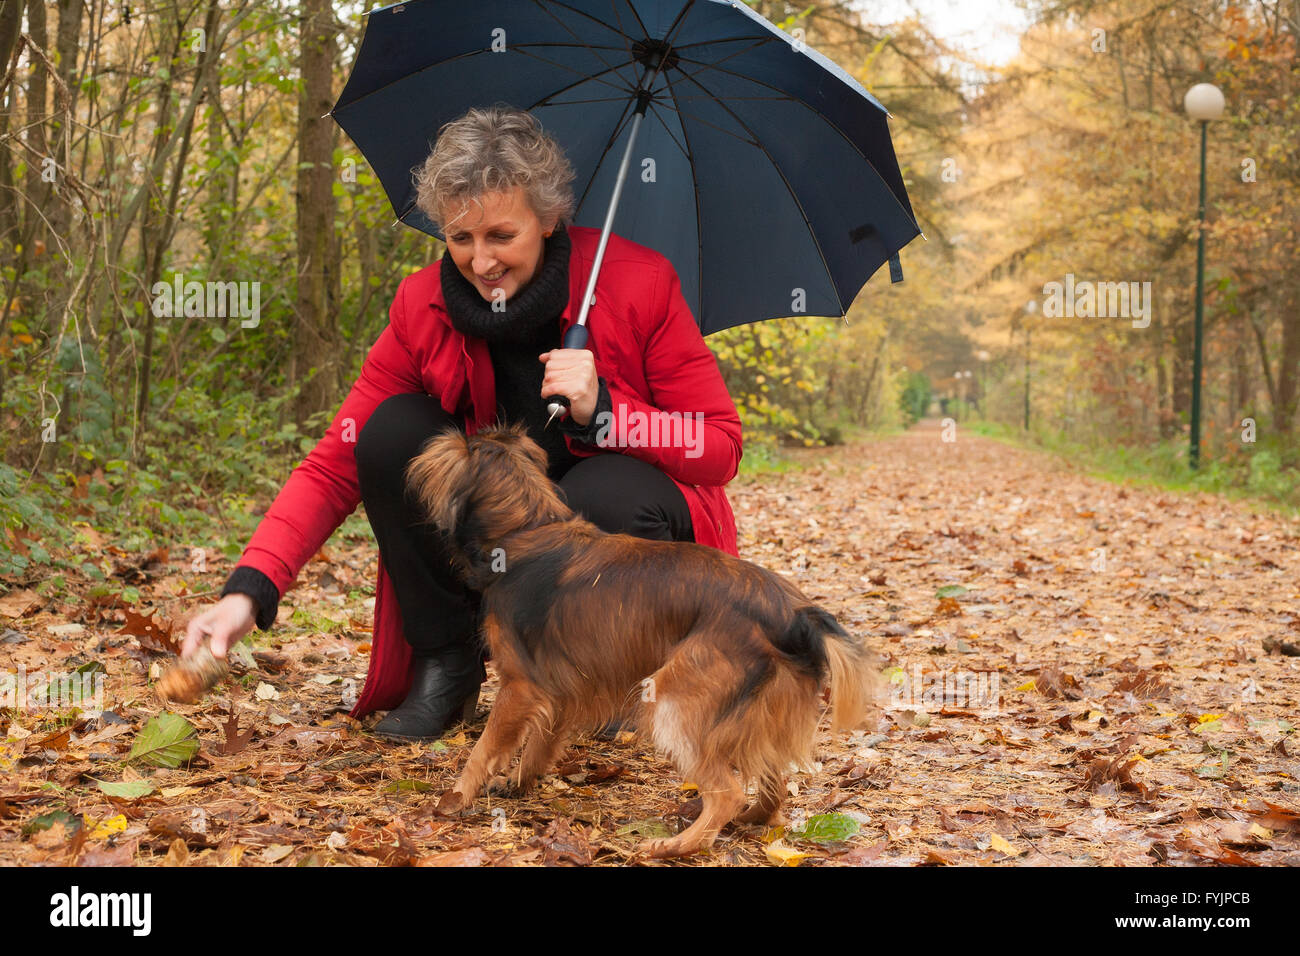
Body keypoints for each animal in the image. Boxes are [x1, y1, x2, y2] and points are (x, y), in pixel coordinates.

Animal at [410, 421, 878, 858]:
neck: (526, 530)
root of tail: (794, 616)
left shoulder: (519, 686)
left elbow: (482, 751)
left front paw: (452, 800)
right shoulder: (558, 688)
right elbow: (541, 742)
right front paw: (520, 781)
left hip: (673, 699)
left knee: (726, 791)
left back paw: (678, 845)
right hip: (757, 713)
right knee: (772, 778)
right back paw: (752, 818)